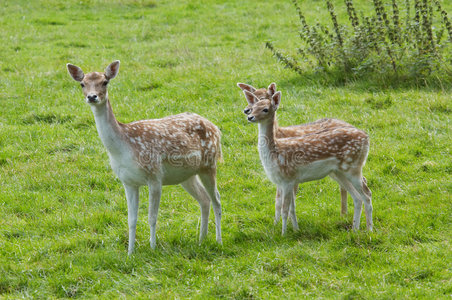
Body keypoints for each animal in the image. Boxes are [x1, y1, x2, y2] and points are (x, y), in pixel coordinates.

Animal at [67, 61, 222, 255]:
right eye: (82, 84)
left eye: (105, 82)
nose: (92, 97)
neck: (124, 148)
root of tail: (216, 128)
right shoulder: (128, 181)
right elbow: (131, 219)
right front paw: (130, 253)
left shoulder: (154, 175)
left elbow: (152, 217)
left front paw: (153, 248)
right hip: (187, 175)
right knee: (204, 199)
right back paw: (201, 240)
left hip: (209, 164)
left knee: (217, 199)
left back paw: (218, 241)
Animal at [244, 89, 374, 234]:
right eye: (253, 108)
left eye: (265, 109)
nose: (249, 116)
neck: (275, 154)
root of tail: (367, 138)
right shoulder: (286, 181)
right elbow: (289, 207)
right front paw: (294, 230)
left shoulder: (287, 179)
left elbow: (285, 209)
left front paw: (283, 234)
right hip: (339, 172)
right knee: (357, 197)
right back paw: (354, 229)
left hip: (353, 167)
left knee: (367, 194)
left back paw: (369, 230)